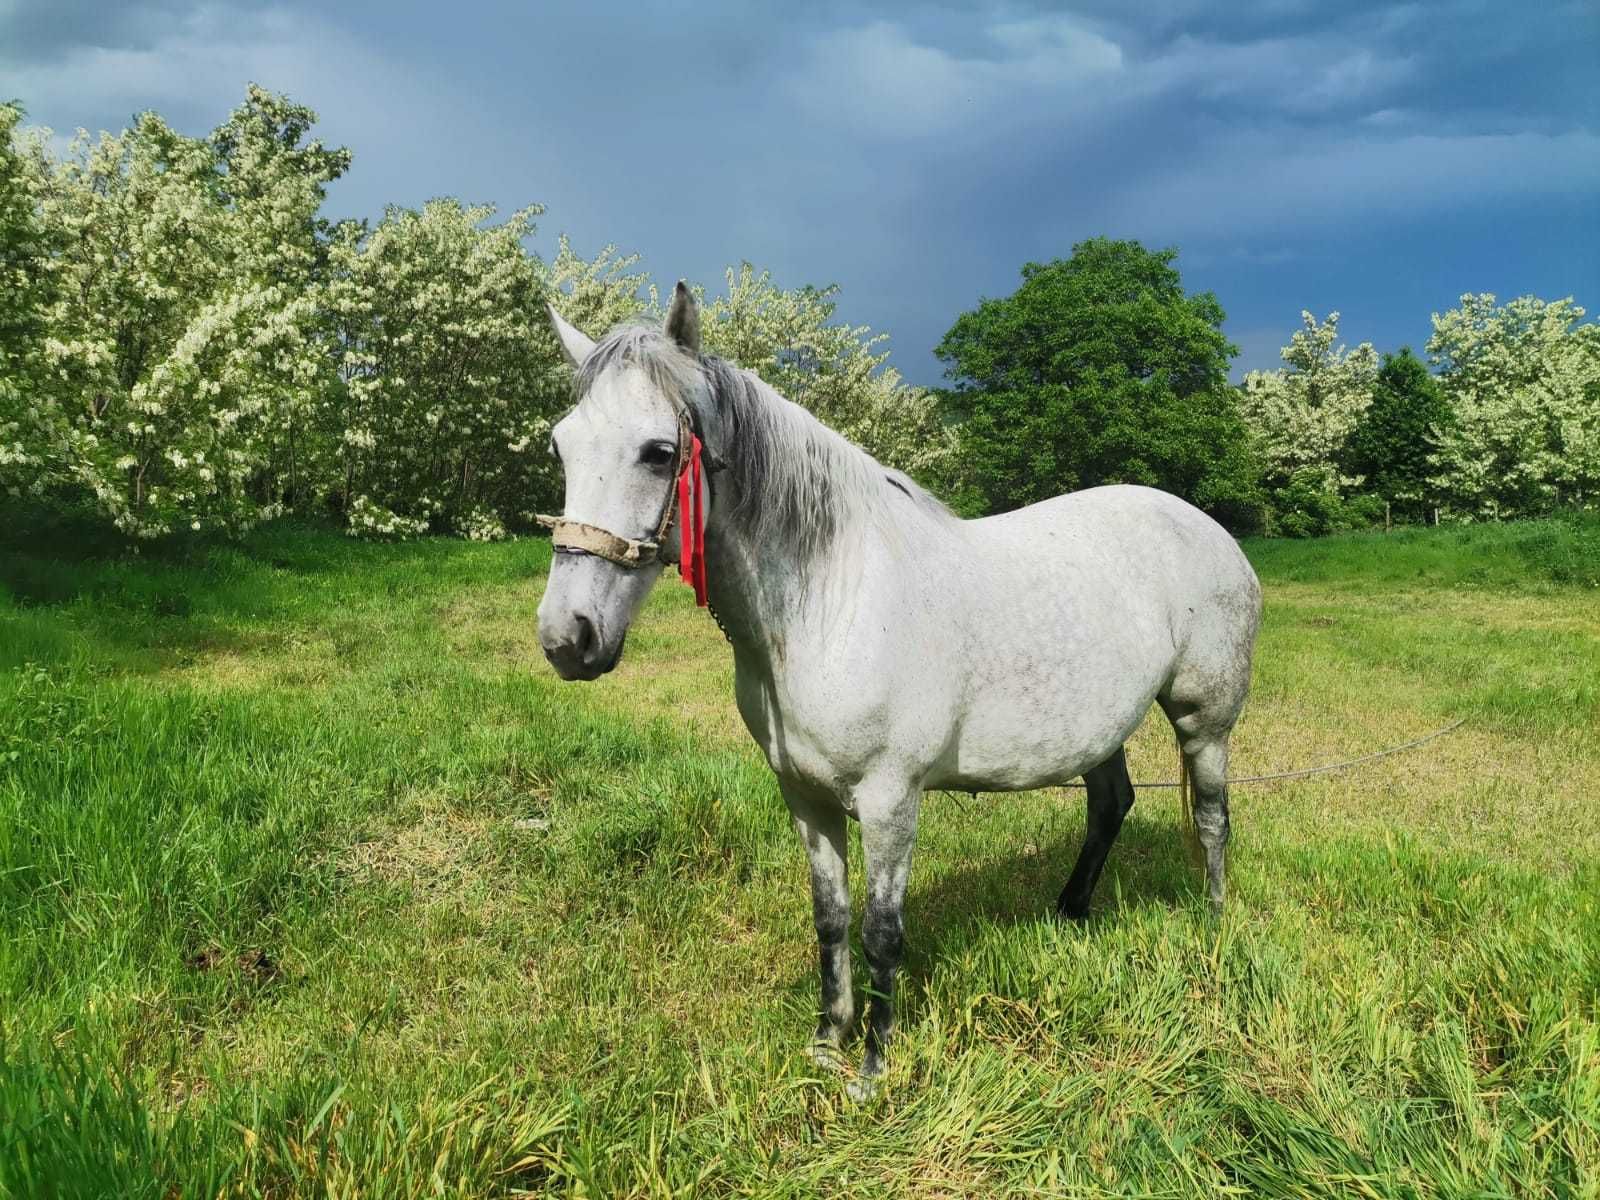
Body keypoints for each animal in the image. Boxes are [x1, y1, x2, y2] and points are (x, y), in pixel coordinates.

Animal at [537, 281, 1260, 1100]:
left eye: (659, 452)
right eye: (560, 446)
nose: (568, 637)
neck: (828, 601)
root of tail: (1212, 530)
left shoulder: (890, 800)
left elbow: (884, 932)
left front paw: (871, 1071)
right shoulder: (806, 798)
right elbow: (831, 917)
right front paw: (827, 1043)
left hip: (1205, 721)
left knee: (1212, 820)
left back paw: (1211, 928)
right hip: (1097, 730)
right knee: (1110, 805)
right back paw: (1071, 914)